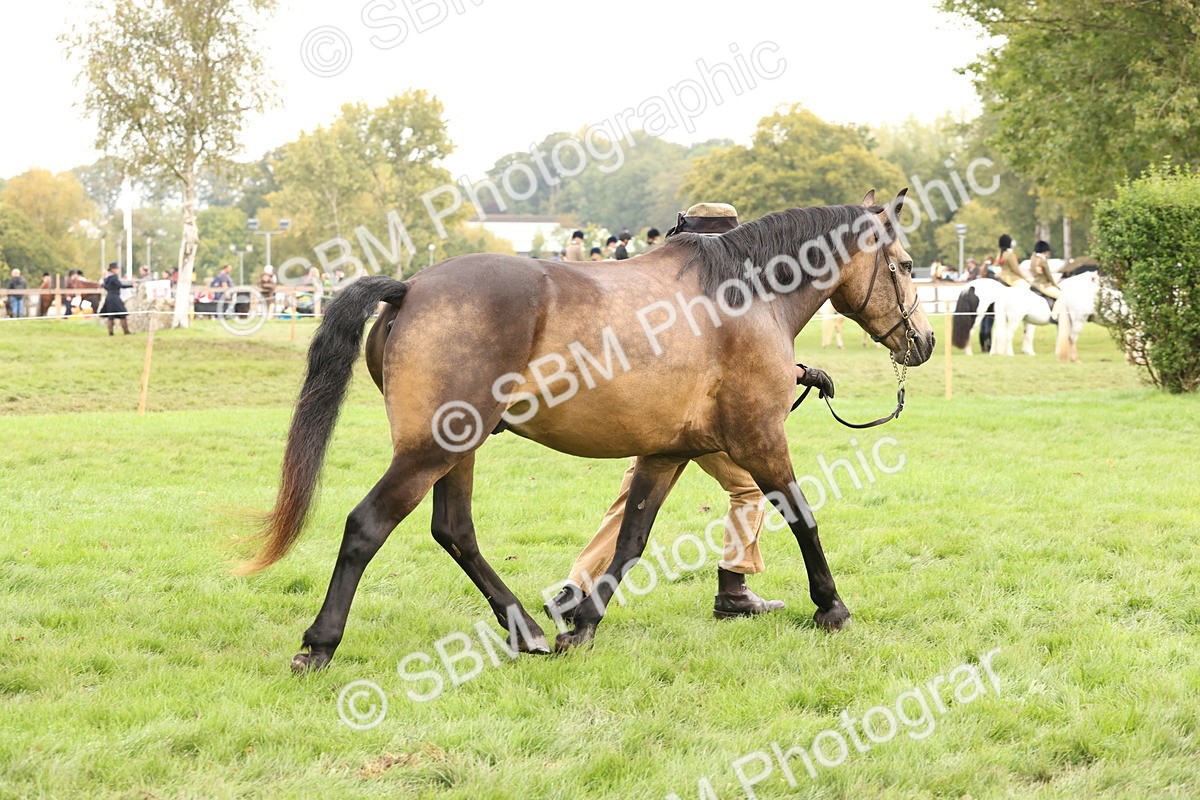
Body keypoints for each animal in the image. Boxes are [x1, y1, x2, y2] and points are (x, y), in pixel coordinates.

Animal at [238, 190, 936, 672]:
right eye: (903, 265)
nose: (924, 341)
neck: (743, 296)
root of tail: (409, 288)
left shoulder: (665, 453)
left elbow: (629, 541)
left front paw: (583, 625)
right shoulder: (760, 438)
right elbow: (802, 515)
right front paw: (832, 606)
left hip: (458, 450)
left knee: (454, 531)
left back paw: (528, 630)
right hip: (429, 450)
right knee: (367, 525)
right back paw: (319, 645)